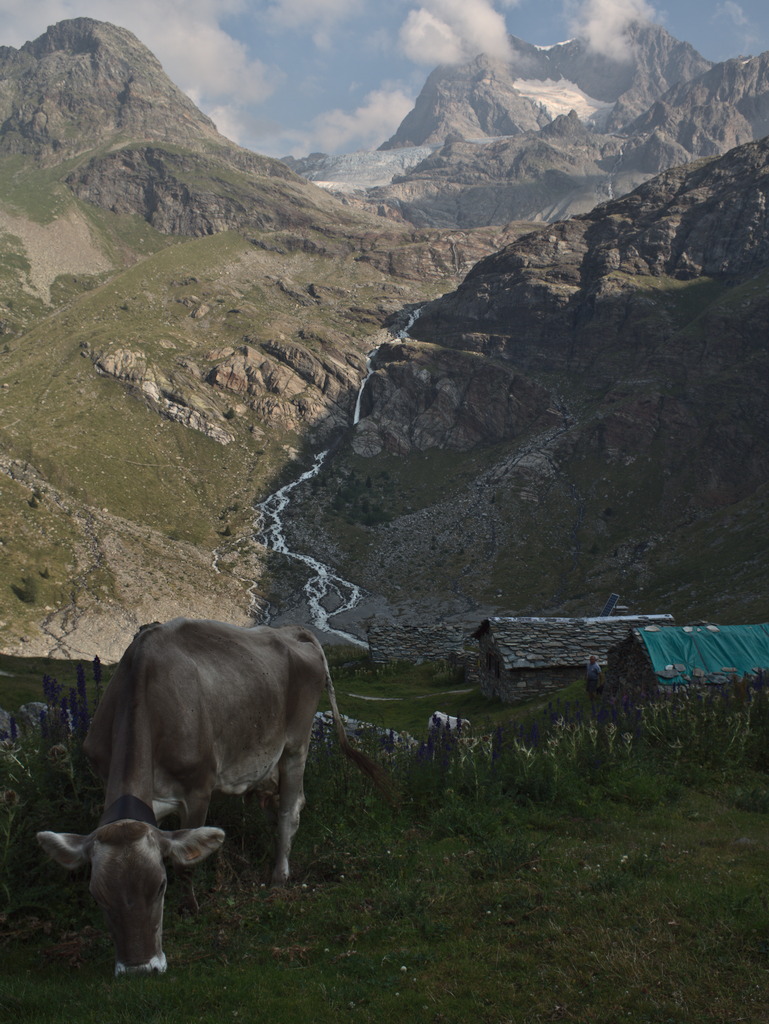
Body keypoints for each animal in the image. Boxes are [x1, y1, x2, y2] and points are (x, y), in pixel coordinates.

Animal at [38, 614, 387, 974]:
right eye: (98, 895)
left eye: (160, 886)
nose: (140, 968)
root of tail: (292, 632)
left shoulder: (197, 789)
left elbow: (186, 863)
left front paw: (190, 908)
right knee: (275, 806)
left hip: (296, 743)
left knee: (290, 809)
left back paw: (279, 875)